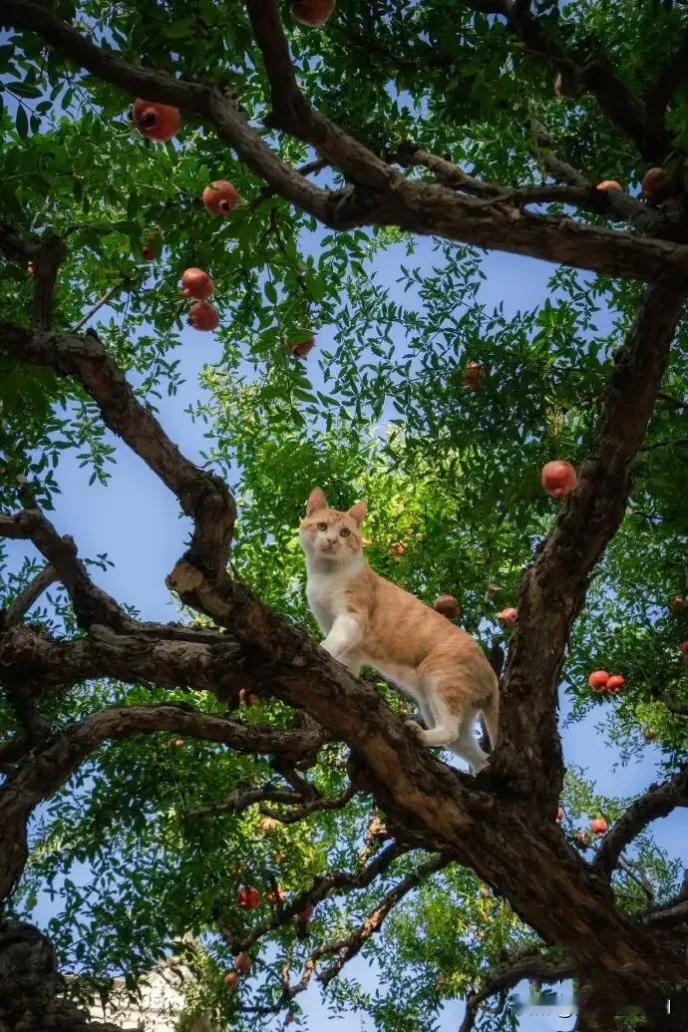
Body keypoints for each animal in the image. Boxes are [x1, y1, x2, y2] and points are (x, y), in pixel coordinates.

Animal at [301, 487, 501, 771]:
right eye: (322, 526)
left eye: (345, 533)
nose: (331, 541)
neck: (326, 575)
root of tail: (493, 675)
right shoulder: (352, 647)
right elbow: (347, 664)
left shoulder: (351, 618)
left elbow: (331, 643)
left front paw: (319, 651)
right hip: (435, 705)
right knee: (476, 753)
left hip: (440, 677)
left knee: (450, 730)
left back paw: (420, 734)